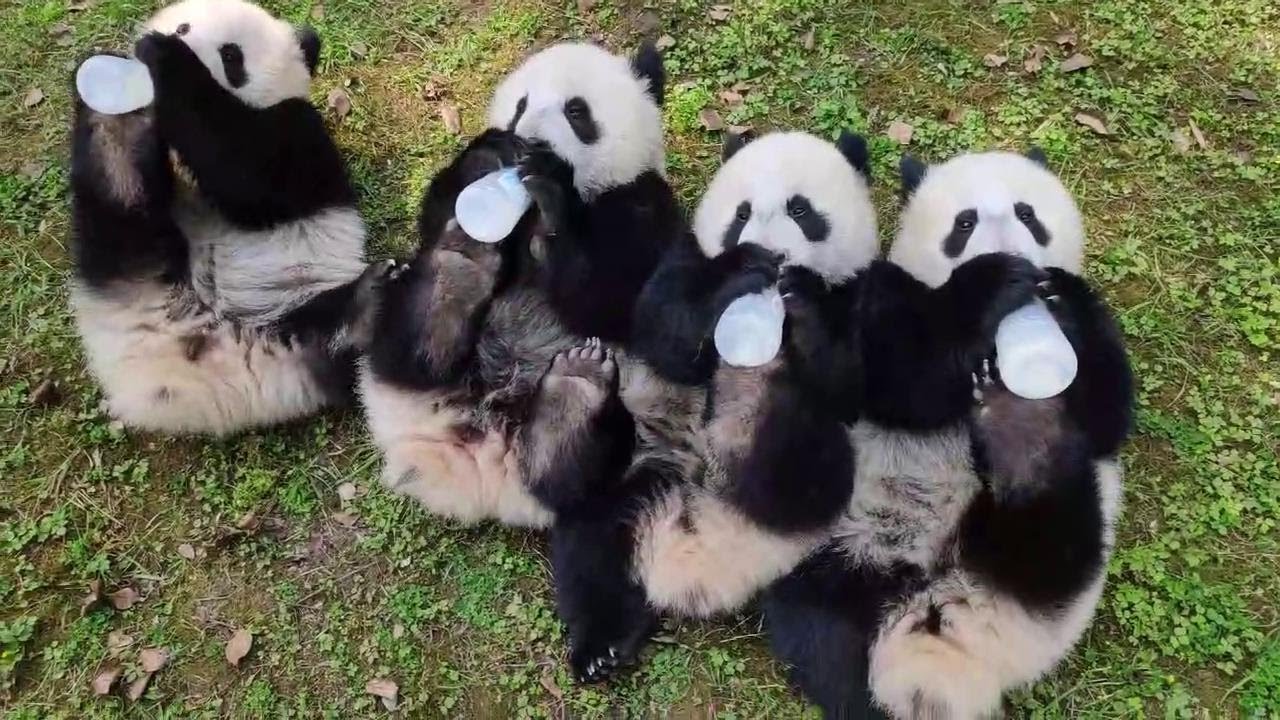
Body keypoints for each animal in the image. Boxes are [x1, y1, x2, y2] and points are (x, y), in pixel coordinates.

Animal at [69, 0, 383, 435]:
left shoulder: (297, 135)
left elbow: (248, 174)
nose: (178, 37)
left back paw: (366, 304)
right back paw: (117, 126)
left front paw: (167, 59)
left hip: (297, 298)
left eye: (231, 56)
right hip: (133, 265)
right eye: (184, 25)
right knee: (122, 202)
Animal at [358, 42, 681, 528]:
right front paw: (490, 153)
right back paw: (460, 270)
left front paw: (552, 193)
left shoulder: (644, 205)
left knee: (574, 479)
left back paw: (574, 395)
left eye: (576, 110)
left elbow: (614, 301)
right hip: (393, 356)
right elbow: (439, 209)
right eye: (521, 106)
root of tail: (486, 462)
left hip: (622, 442)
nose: (531, 142)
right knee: (408, 352)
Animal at [761, 150, 1134, 719]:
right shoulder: (888, 299)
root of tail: (945, 613)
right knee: (827, 638)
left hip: (1061, 567)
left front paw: (1060, 294)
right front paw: (993, 280)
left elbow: (1107, 415)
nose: (1008, 248)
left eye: (1027, 214)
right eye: (964, 223)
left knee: (1053, 528)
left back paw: (1022, 440)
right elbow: (899, 380)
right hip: (835, 555)